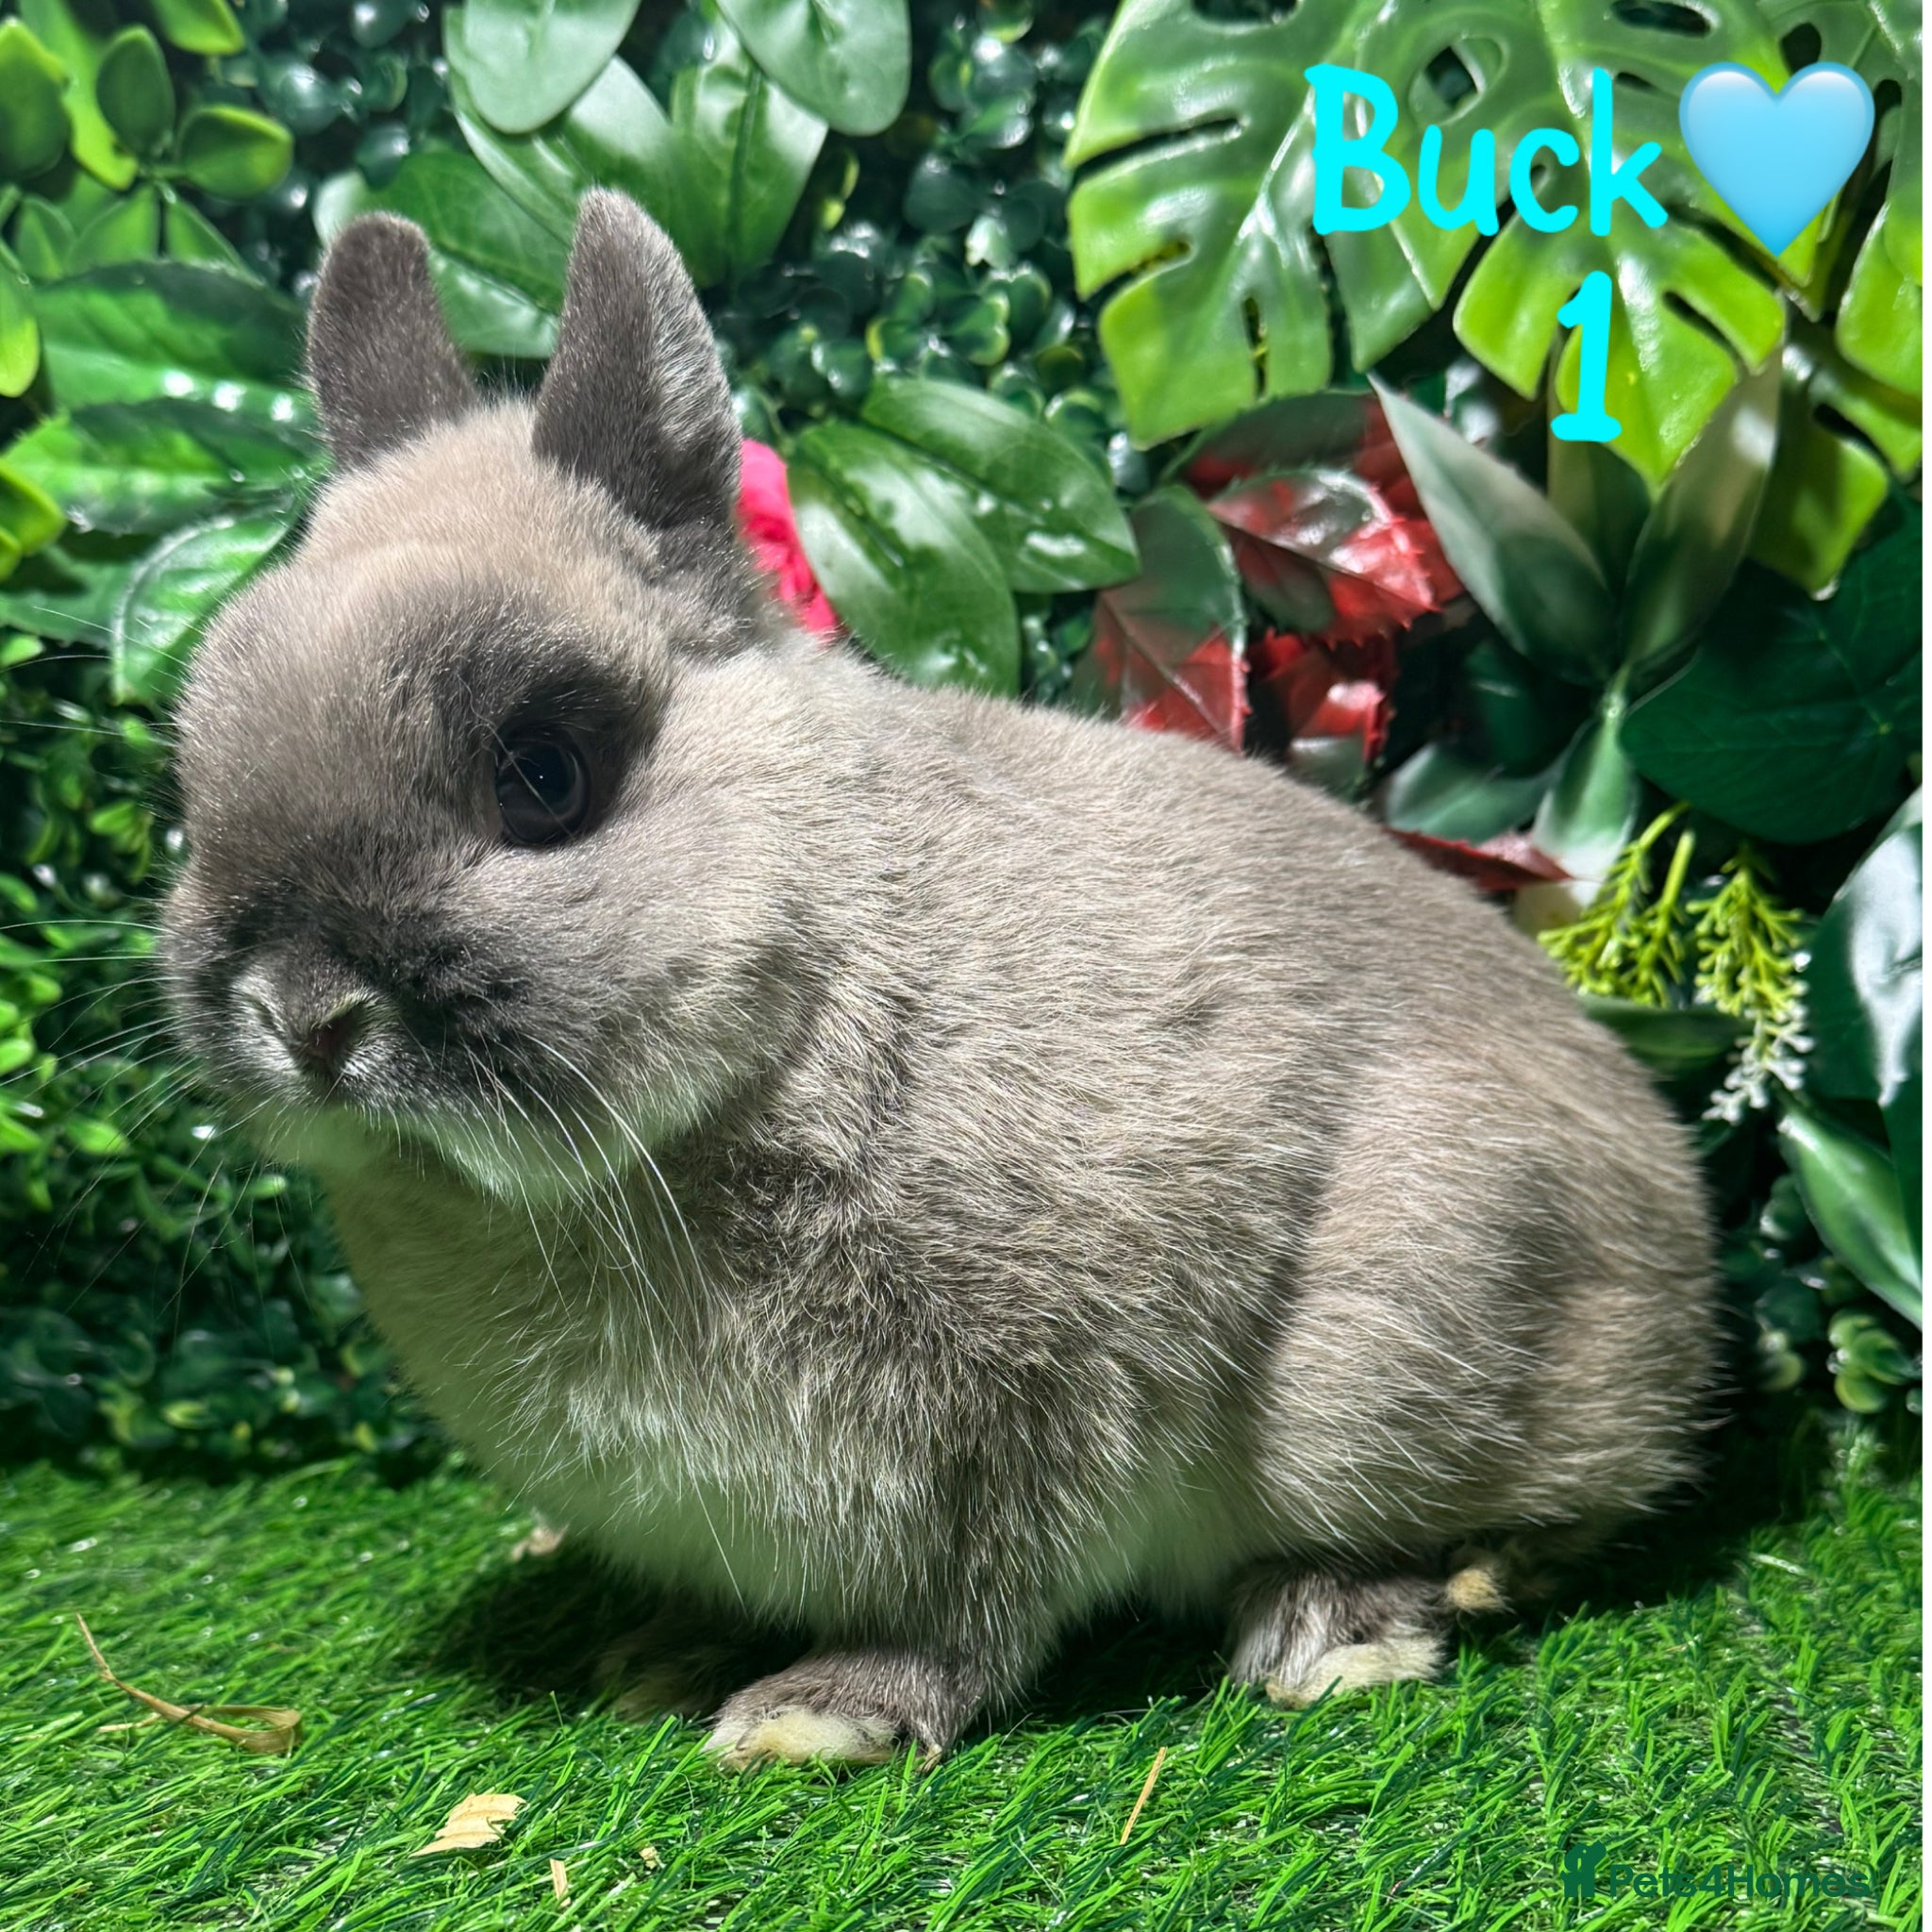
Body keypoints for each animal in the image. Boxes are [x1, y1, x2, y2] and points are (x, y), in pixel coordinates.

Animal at [159, 190, 1720, 1769]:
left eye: (544, 775)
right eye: (193, 769)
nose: (300, 1013)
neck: (802, 985)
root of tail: (1690, 1266)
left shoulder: (1033, 1407)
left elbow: (978, 1601)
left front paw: (820, 1715)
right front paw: (659, 1657)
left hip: (1409, 1347)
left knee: (1549, 1515)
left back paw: (1338, 1624)